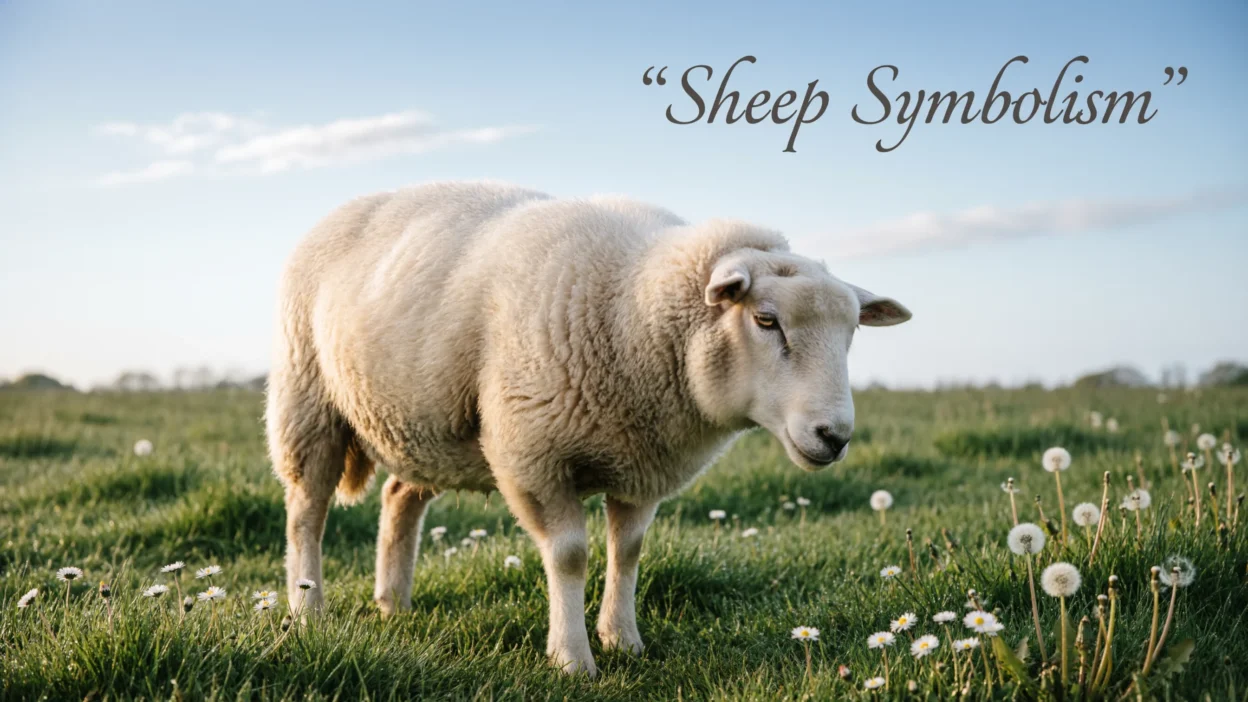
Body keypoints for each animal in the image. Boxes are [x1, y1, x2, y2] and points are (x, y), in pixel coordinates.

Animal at [266, 181, 911, 676]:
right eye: (767, 320)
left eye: (853, 331)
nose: (834, 436)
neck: (633, 306)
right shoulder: (532, 454)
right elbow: (571, 555)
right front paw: (573, 658)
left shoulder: (643, 464)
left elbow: (628, 551)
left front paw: (622, 638)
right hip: (309, 398)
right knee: (306, 513)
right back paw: (306, 610)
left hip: (425, 422)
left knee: (400, 496)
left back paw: (392, 603)